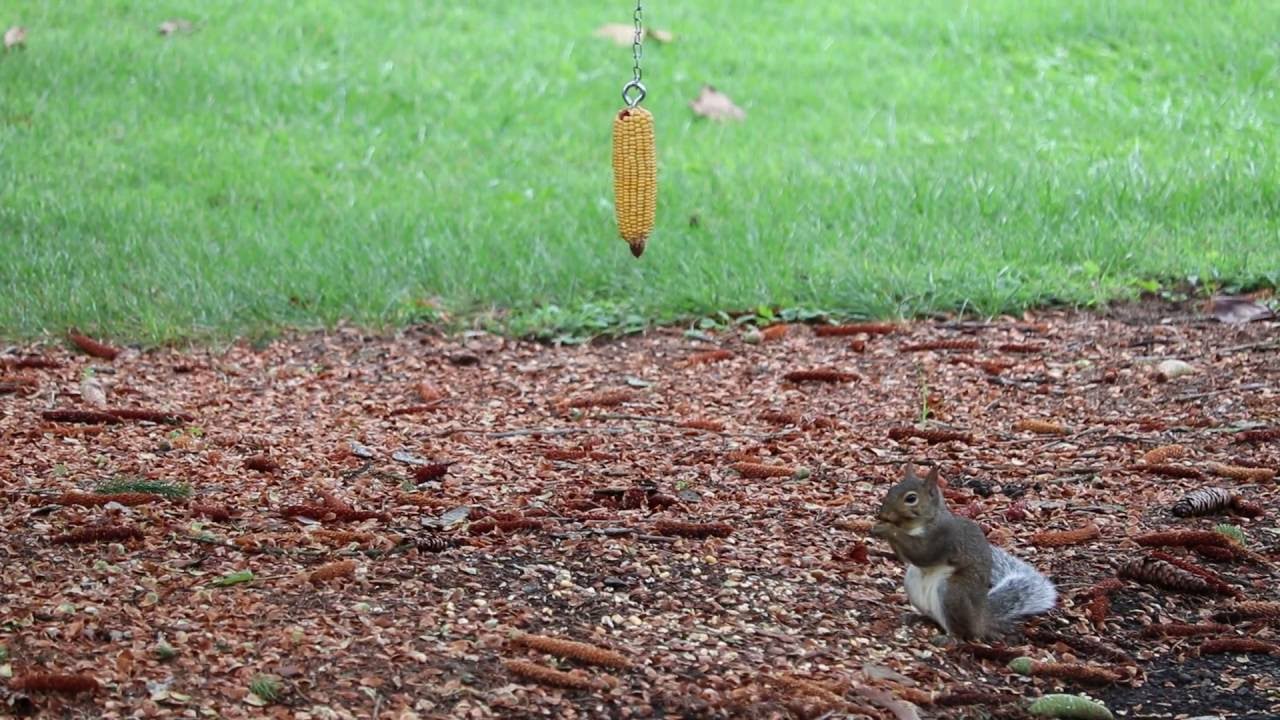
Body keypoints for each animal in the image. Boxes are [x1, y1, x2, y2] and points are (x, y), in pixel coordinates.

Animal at [870, 464, 1056, 641]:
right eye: (891, 490)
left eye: (911, 498)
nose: (882, 515)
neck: (919, 524)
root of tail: (980, 620)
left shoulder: (943, 538)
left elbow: (922, 553)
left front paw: (887, 529)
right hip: (913, 584)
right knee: (933, 618)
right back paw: (916, 617)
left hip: (953, 594)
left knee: (962, 631)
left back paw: (949, 638)